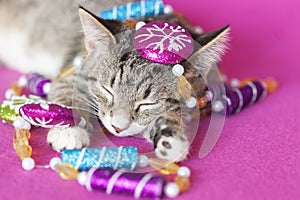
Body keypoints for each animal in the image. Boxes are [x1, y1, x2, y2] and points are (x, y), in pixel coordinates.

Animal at [0, 0, 230, 162]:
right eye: (107, 90)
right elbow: (66, 90)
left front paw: (170, 137)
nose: (118, 128)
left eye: (148, 103)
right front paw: (69, 129)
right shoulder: (74, 67)